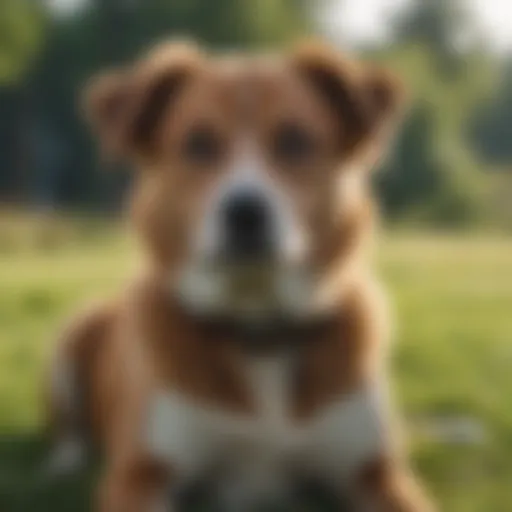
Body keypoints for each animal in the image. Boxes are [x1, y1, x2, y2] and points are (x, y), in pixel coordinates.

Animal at [46, 41, 434, 512]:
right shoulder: (140, 474)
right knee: (67, 427)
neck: (259, 330)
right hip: (69, 339)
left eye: (294, 140)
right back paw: (65, 461)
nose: (246, 213)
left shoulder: (375, 472)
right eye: (198, 143)